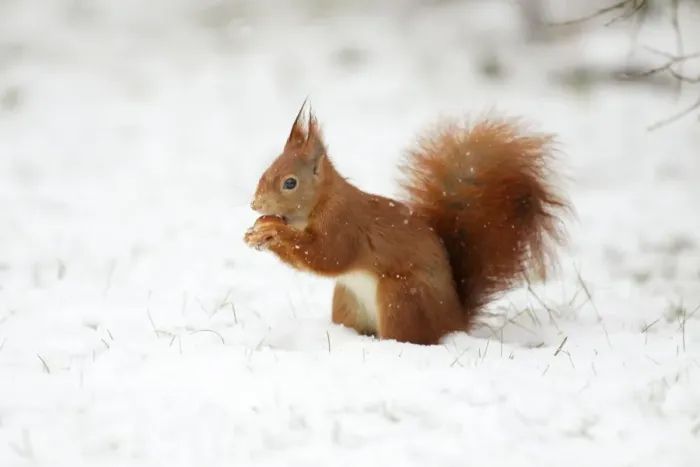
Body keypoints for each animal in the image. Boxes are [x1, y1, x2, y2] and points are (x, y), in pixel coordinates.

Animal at [243, 101, 571, 345]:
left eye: (290, 183)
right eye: (265, 172)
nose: (255, 204)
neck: (321, 202)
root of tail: (454, 322)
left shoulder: (344, 225)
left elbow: (327, 256)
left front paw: (274, 232)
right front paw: (258, 230)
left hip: (400, 299)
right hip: (347, 300)